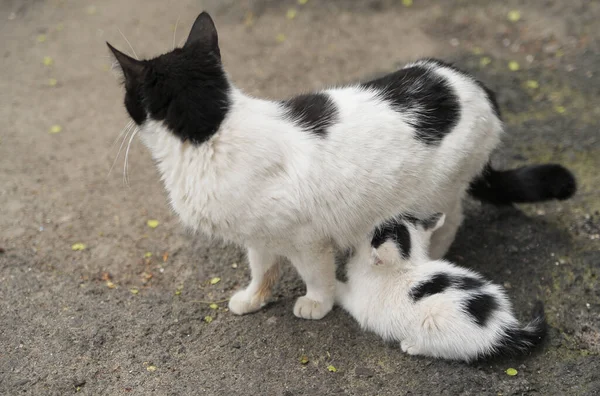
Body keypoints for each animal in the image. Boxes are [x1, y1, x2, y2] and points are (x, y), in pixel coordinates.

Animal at [108, 12, 576, 320]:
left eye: (128, 95)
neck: (212, 130)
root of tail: (476, 85)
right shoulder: (257, 236)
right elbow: (261, 267)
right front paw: (254, 297)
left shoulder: (308, 238)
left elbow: (316, 273)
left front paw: (317, 303)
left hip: (437, 189)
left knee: (451, 217)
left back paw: (436, 249)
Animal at [336, 213, 548, 362]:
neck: (407, 266)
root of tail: (501, 325)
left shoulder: (360, 306)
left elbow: (343, 293)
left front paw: (333, 285)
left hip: (437, 325)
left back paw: (412, 345)